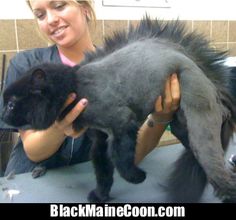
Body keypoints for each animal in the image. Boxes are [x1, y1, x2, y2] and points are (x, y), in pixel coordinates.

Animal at [1, 17, 236, 203]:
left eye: (11, 103)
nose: (3, 116)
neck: (76, 86)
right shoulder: (100, 137)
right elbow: (104, 170)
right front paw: (100, 195)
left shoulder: (123, 124)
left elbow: (121, 160)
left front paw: (137, 177)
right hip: (182, 127)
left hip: (200, 131)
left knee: (221, 173)